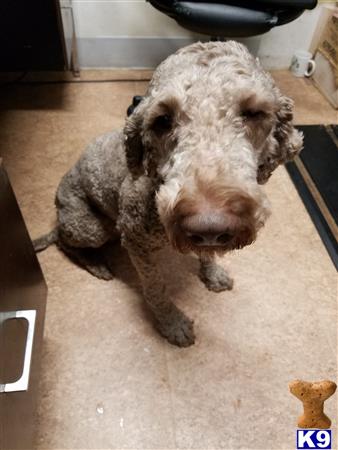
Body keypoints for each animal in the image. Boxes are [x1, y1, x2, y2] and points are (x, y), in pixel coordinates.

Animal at [35, 40, 304, 346]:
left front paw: (212, 273)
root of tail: (58, 215)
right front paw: (172, 323)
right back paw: (96, 264)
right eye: (162, 120)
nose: (210, 225)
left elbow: (207, 254)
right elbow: (156, 288)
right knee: (66, 243)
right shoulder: (136, 242)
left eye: (254, 112)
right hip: (90, 227)